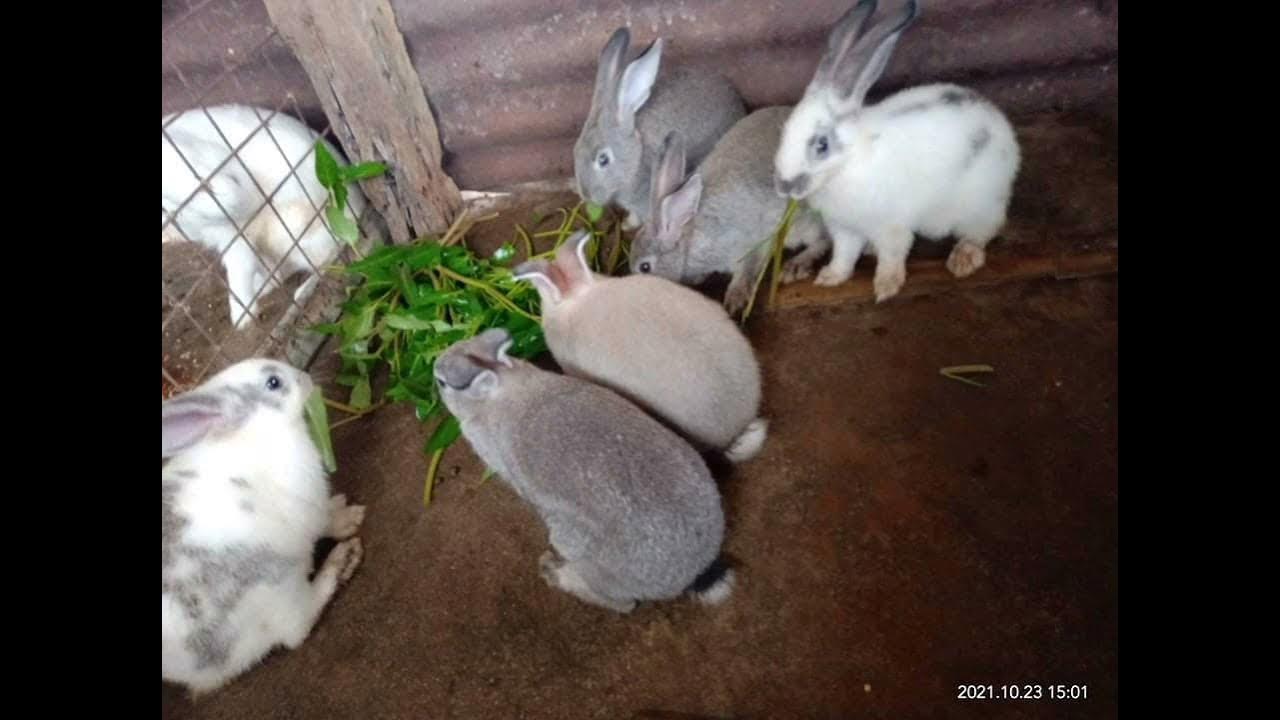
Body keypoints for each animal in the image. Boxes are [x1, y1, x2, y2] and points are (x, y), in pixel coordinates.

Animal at [162, 104, 369, 330]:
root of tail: (357, 209)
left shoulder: (234, 226)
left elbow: (239, 267)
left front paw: (241, 317)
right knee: (281, 271)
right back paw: (264, 289)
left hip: (295, 232)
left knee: (332, 257)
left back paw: (301, 292)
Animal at [162, 358, 365, 696]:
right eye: (273, 382)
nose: (305, 377)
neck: (253, 434)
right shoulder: (309, 510)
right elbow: (327, 522)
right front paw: (350, 518)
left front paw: (343, 507)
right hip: (276, 584)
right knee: (298, 628)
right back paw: (341, 562)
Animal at [435, 328, 735, 613]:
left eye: (441, 382)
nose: (435, 365)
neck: (499, 392)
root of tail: (693, 572)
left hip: (573, 544)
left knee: (624, 605)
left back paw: (554, 572)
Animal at [628, 111, 828, 316]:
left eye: (645, 267)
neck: (688, 239)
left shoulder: (748, 244)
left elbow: (746, 270)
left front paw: (735, 300)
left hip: (804, 224)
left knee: (823, 240)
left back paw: (796, 266)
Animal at [773, 0, 1021, 302]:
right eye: (784, 131)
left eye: (822, 145)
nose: (784, 186)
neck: (849, 162)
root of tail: (997, 119)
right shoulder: (844, 229)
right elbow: (844, 256)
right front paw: (830, 277)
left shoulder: (890, 227)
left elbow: (892, 257)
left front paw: (885, 288)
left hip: (979, 205)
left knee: (983, 231)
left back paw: (963, 259)